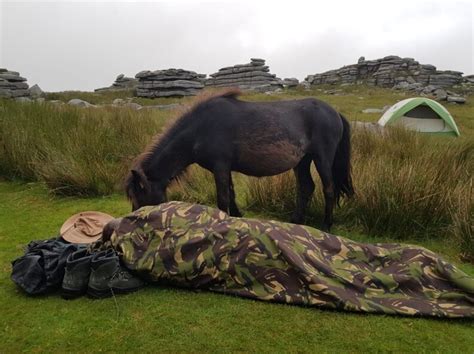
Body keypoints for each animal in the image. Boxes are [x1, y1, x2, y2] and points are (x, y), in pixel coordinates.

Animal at [124, 89, 354, 230]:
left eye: (140, 196)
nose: (132, 221)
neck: (199, 129)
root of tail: (335, 112)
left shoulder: (220, 167)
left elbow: (223, 198)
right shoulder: (225, 168)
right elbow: (231, 194)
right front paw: (236, 218)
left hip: (322, 158)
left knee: (328, 189)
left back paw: (326, 226)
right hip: (302, 161)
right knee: (306, 187)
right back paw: (297, 221)